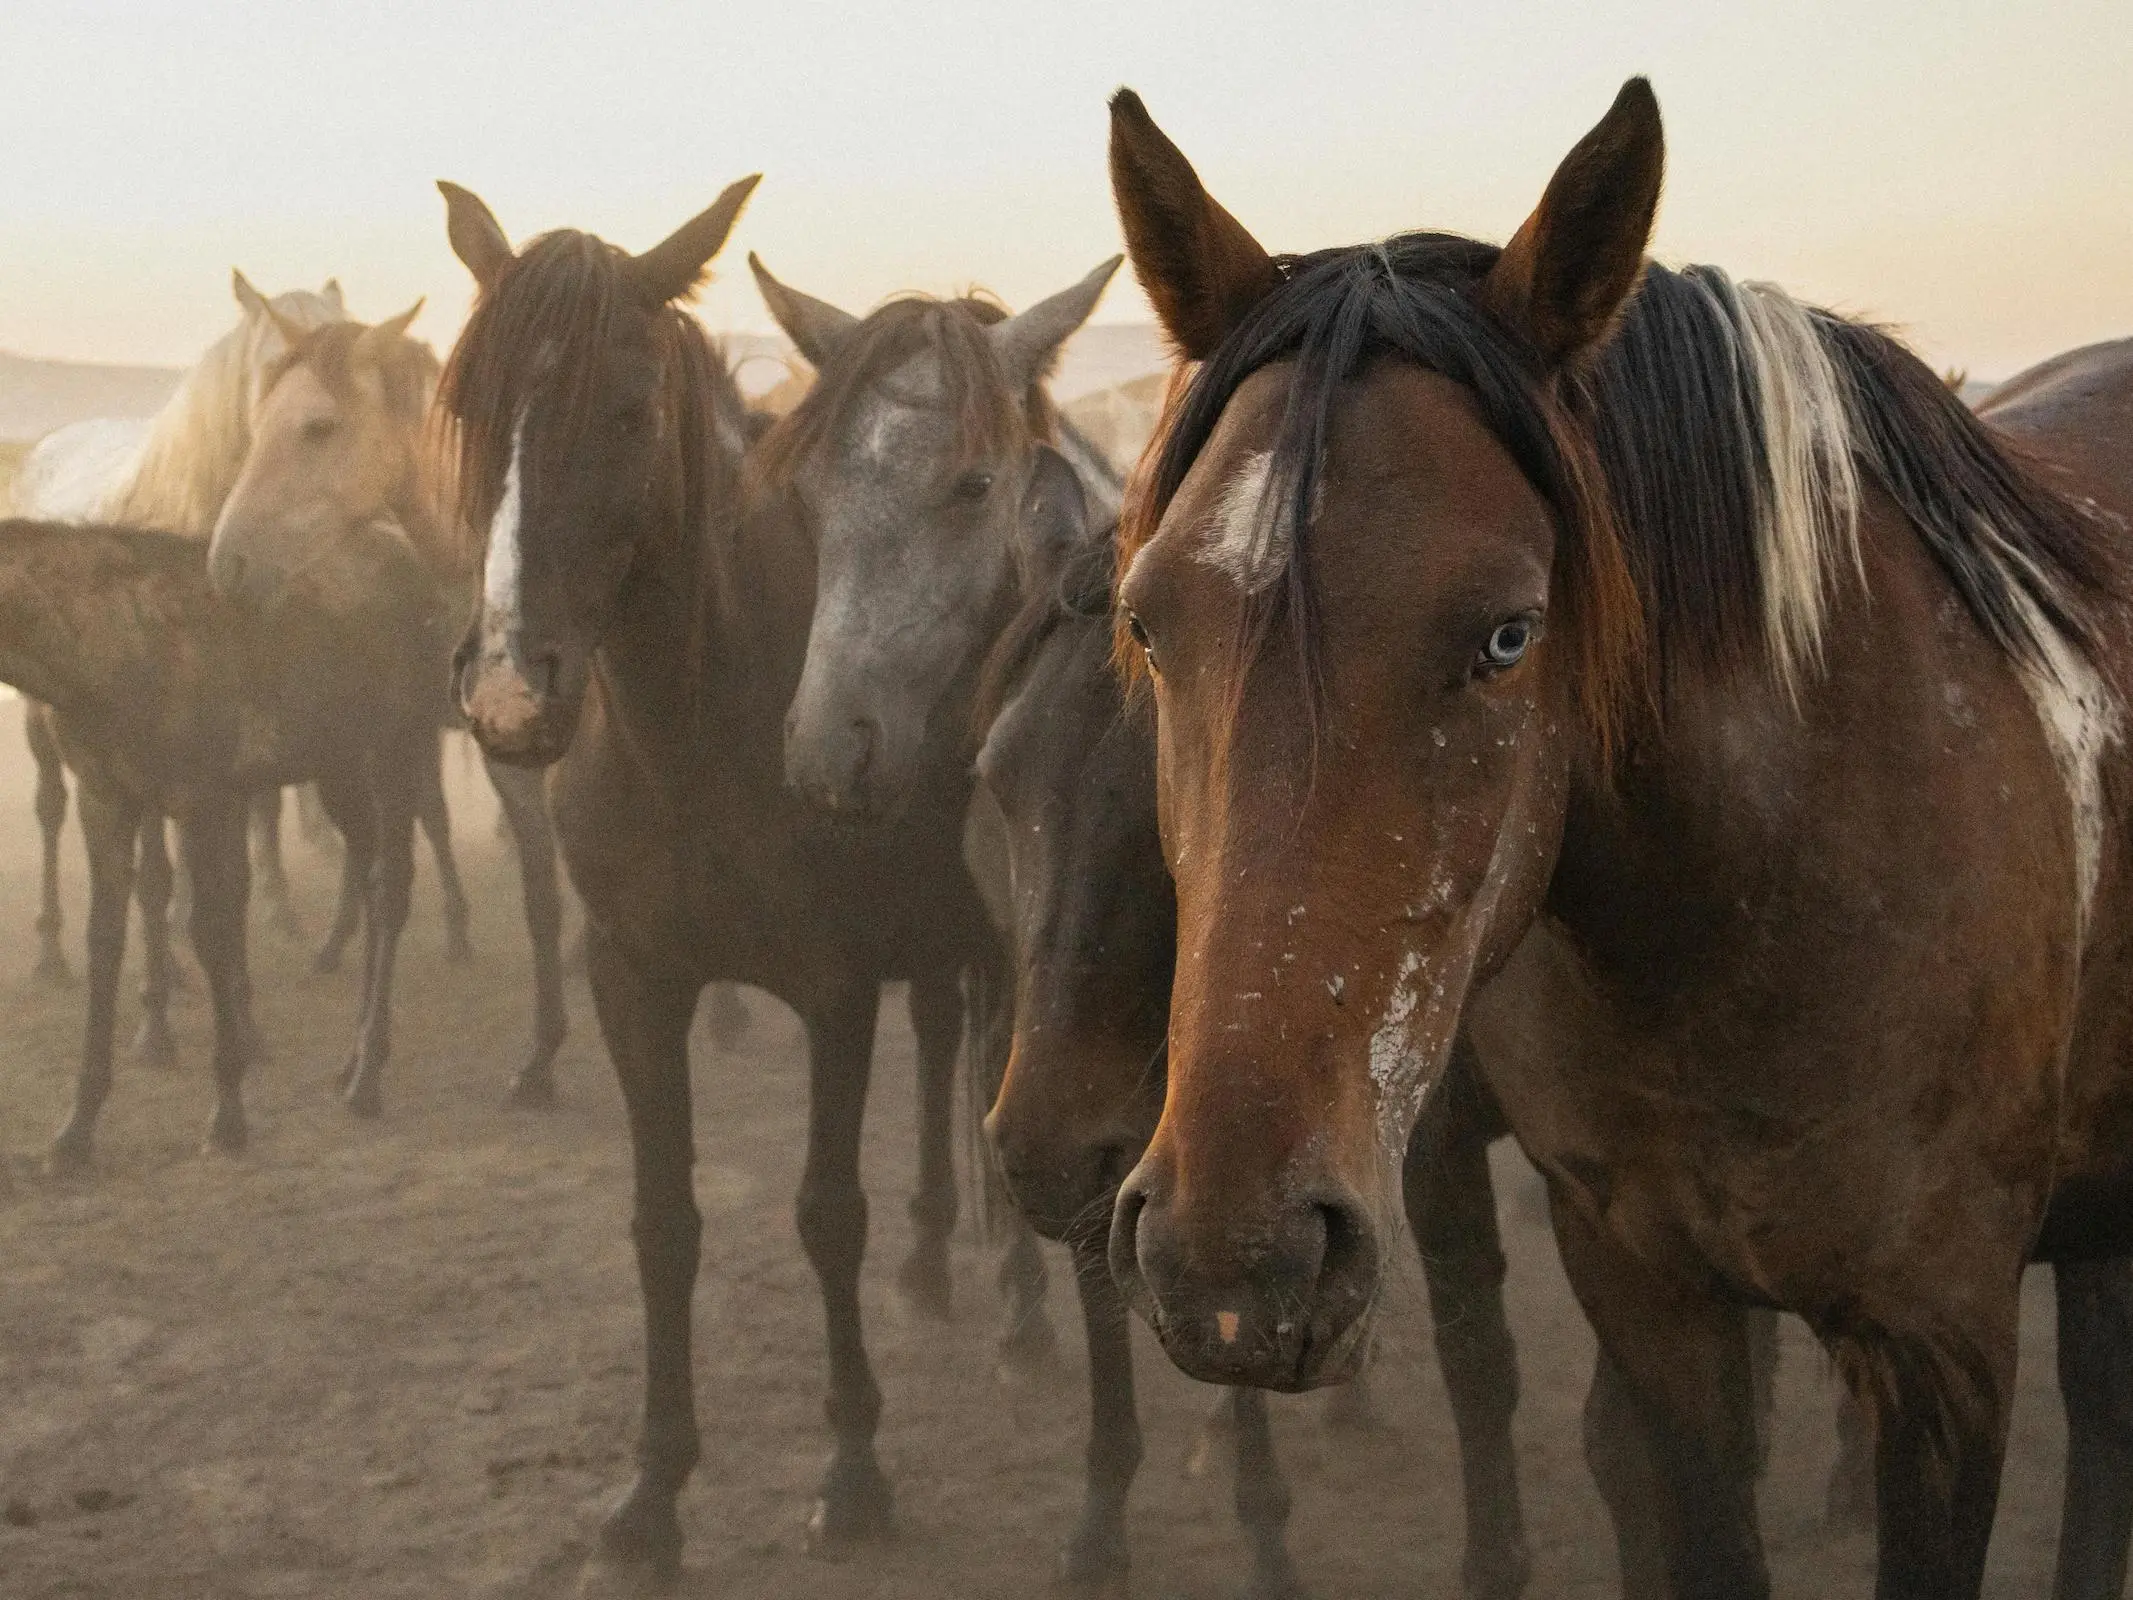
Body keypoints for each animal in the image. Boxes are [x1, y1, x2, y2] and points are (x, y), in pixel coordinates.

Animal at [439, 181, 1049, 1587]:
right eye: (470, 406)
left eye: (624, 409)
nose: (508, 693)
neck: (694, 725)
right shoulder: (632, 979)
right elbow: (663, 1223)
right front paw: (652, 1492)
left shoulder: (832, 989)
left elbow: (826, 1212)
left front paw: (853, 1469)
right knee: (943, 1038)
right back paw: (934, 1256)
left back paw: (1018, 1308)